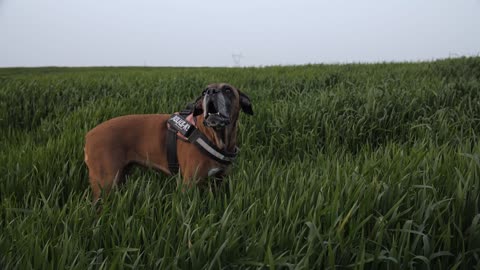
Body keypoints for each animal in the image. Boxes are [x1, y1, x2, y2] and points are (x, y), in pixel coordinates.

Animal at [84, 83, 253, 201]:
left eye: (228, 90)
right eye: (204, 91)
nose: (210, 92)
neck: (215, 137)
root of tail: (88, 136)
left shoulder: (220, 180)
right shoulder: (189, 184)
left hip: (120, 176)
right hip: (105, 184)